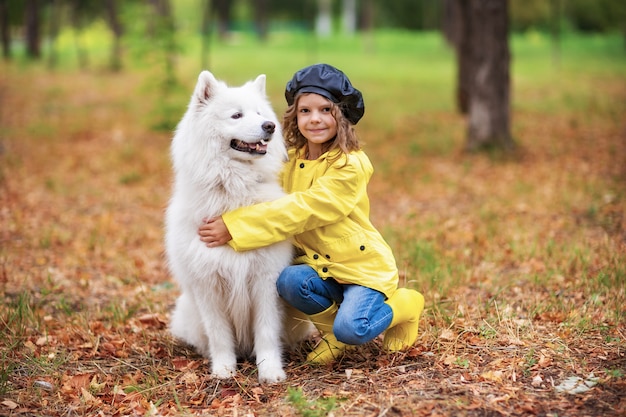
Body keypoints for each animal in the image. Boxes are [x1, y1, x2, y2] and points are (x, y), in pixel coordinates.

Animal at [165, 70, 310, 382]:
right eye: (236, 115)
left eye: (260, 114)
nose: (269, 126)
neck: (233, 189)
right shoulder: (208, 284)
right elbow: (219, 334)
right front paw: (223, 368)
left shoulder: (266, 279)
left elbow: (266, 332)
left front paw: (270, 370)